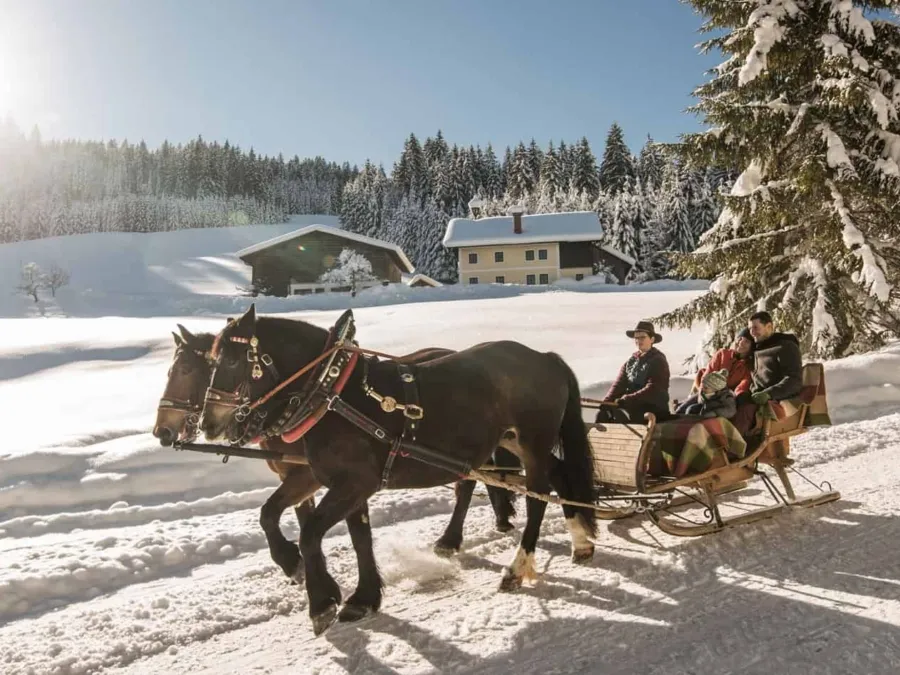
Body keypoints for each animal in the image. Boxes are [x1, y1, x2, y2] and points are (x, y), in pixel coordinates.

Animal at [153, 324, 520, 584]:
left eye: (185, 370)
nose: (161, 431)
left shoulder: (316, 475)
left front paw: (302, 567)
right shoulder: (305, 477)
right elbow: (296, 517)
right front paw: (305, 568)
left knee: (468, 484)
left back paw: (455, 537)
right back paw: (499, 517)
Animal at [200, 308, 596, 636]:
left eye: (232, 360)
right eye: (210, 362)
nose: (207, 424)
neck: (329, 393)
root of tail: (544, 357)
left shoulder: (354, 482)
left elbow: (311, 534)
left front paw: (322, 601)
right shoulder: (322, 477)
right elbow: (283, 518)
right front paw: (352, 593)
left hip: (532, 443)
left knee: (537, 500)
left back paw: (517, 567)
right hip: (514, 442)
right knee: (558, 477)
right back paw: (580, 540)